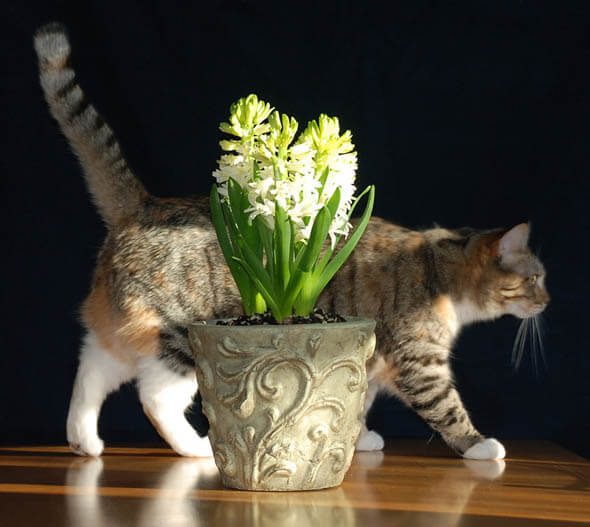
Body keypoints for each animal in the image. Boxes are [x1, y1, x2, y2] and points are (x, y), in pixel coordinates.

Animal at [33, 23, 552, 462]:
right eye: (537, 279)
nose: (547, 302)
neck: (437, 267)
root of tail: (142, 205)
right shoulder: (420, 361)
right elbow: (446, 406)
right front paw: (480, 445)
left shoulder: (367, 358)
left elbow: (357, 398)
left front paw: (359, 438)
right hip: (178, 336)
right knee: (154, 396)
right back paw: (196, 449)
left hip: (120, 330)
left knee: (90, 370)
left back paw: (84, 441)